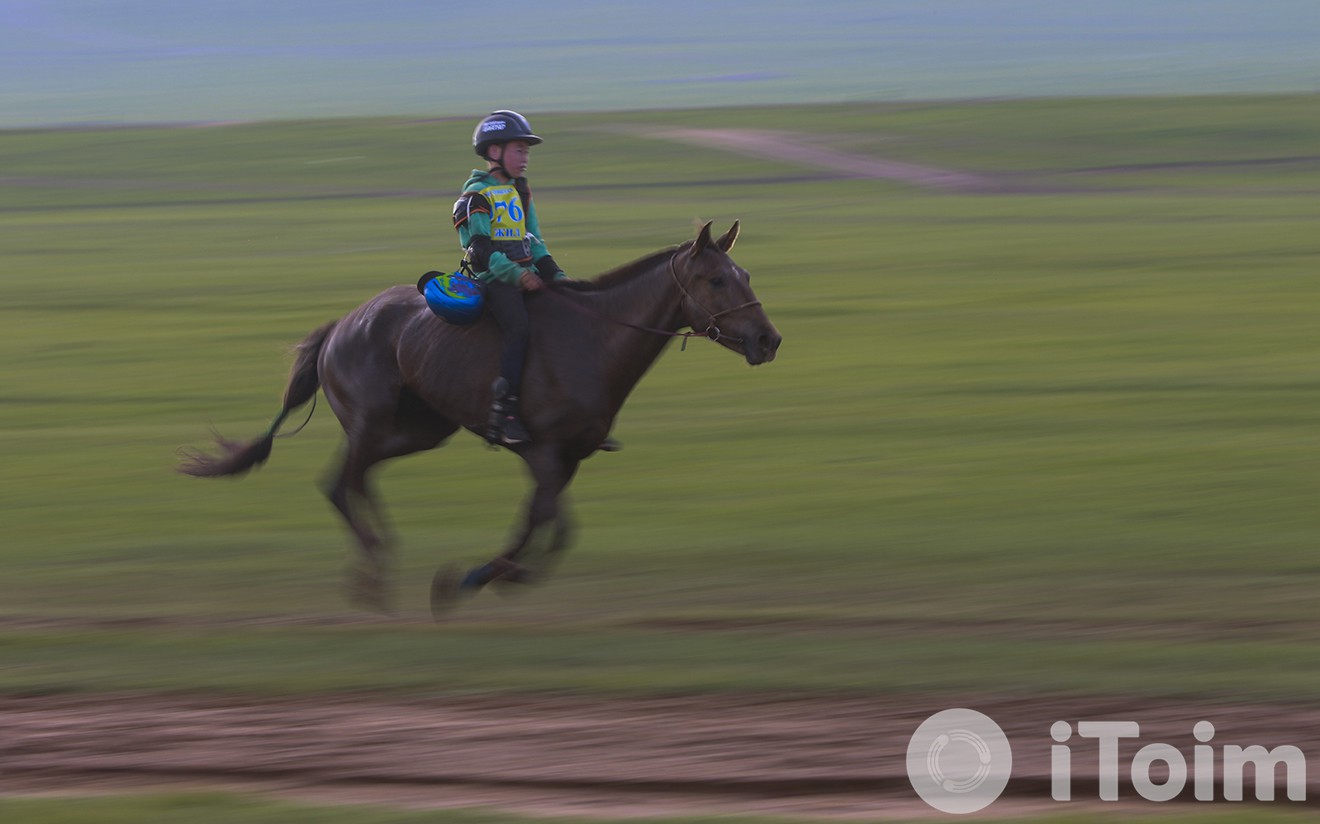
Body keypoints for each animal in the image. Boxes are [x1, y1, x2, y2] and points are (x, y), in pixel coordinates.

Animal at [179, 221, 776, 615]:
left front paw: (493, 576)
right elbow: (548, 521)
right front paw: (474, 578)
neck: (592, 339)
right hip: (373, 421)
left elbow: (547, 523)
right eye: (718, 281)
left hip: (419, 429)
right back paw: (375, 571)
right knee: (346, 482)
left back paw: (379, 562)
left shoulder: (568, 457)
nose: (768, 340)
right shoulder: (541, 450)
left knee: (345, 481)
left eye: (745, 273)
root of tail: (340, 326)